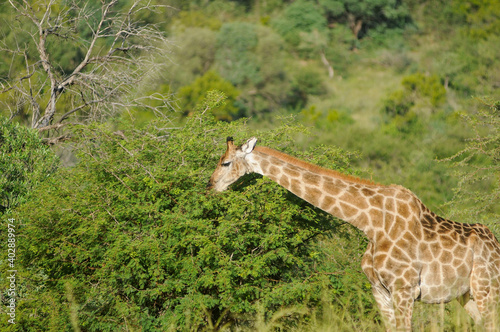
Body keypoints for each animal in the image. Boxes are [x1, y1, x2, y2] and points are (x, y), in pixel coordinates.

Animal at [206, 136, 500, 330]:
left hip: (487, 288)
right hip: (467, 295)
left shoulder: (404, 289)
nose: (209, 187)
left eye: (226, 162)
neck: (370, 223)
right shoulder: (380, 291)